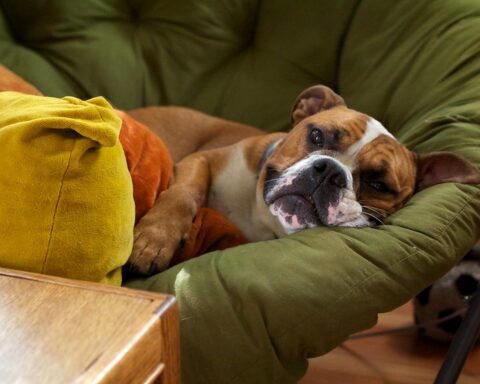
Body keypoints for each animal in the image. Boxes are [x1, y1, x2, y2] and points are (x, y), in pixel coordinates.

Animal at [129, 85, 480, 274]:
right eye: (316, 135)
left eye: (379, 184)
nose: (330, 172)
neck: (261, 218)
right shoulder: (201, 161)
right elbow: (184, 193)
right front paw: (154, 240)